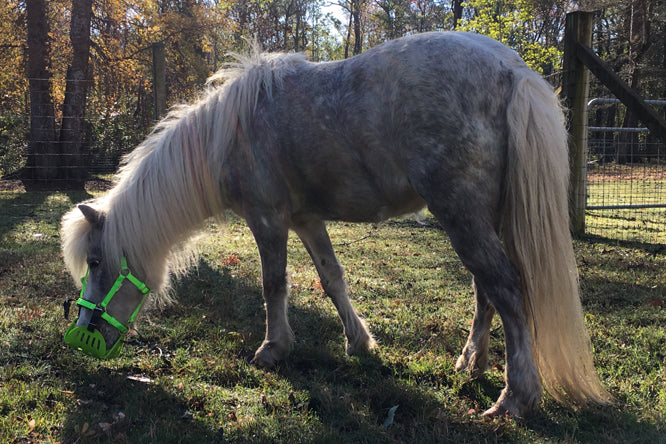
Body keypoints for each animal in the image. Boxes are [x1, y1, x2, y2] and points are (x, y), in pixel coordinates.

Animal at [59, 31, 608, 416]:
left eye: (96, 261)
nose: (83, 333)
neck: (229, 133)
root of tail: (513, 69)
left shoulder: (268, 219)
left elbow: (274, 283)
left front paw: (272, 349)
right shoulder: (306, 219)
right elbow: (332, 278)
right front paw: (358, 342)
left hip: (463, 216)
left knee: (507, 289)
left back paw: (514, 398)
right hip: (479, 219)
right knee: (485, 291)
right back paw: (471, 364)